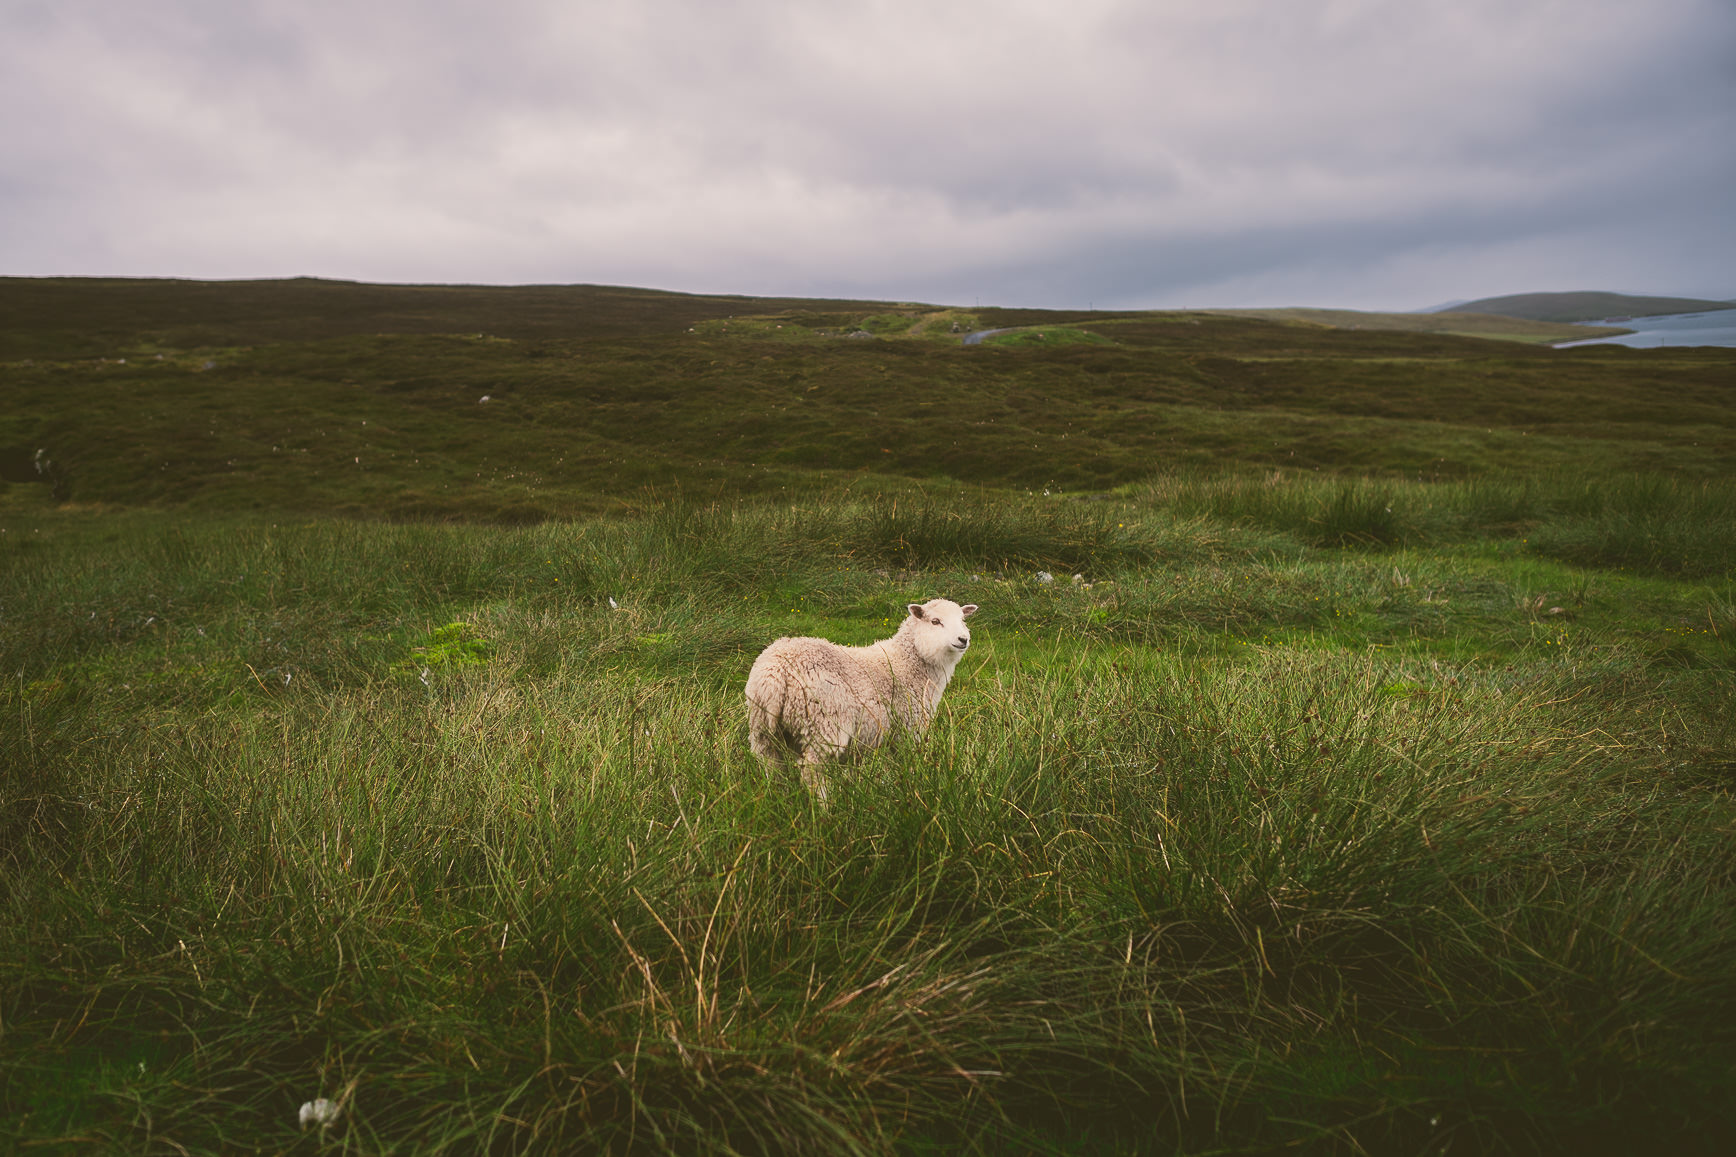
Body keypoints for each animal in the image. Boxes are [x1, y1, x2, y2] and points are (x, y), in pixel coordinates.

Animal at [746, 594, 979, 792]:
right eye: (935, 621)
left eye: (962, 619)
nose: (963, 639)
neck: (907, 663)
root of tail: (776, 671)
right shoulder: (908, 730)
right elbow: (907, 765)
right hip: (823, 723)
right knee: (812, 773)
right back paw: (823, 810)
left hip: (763, 728)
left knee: (772, 766)